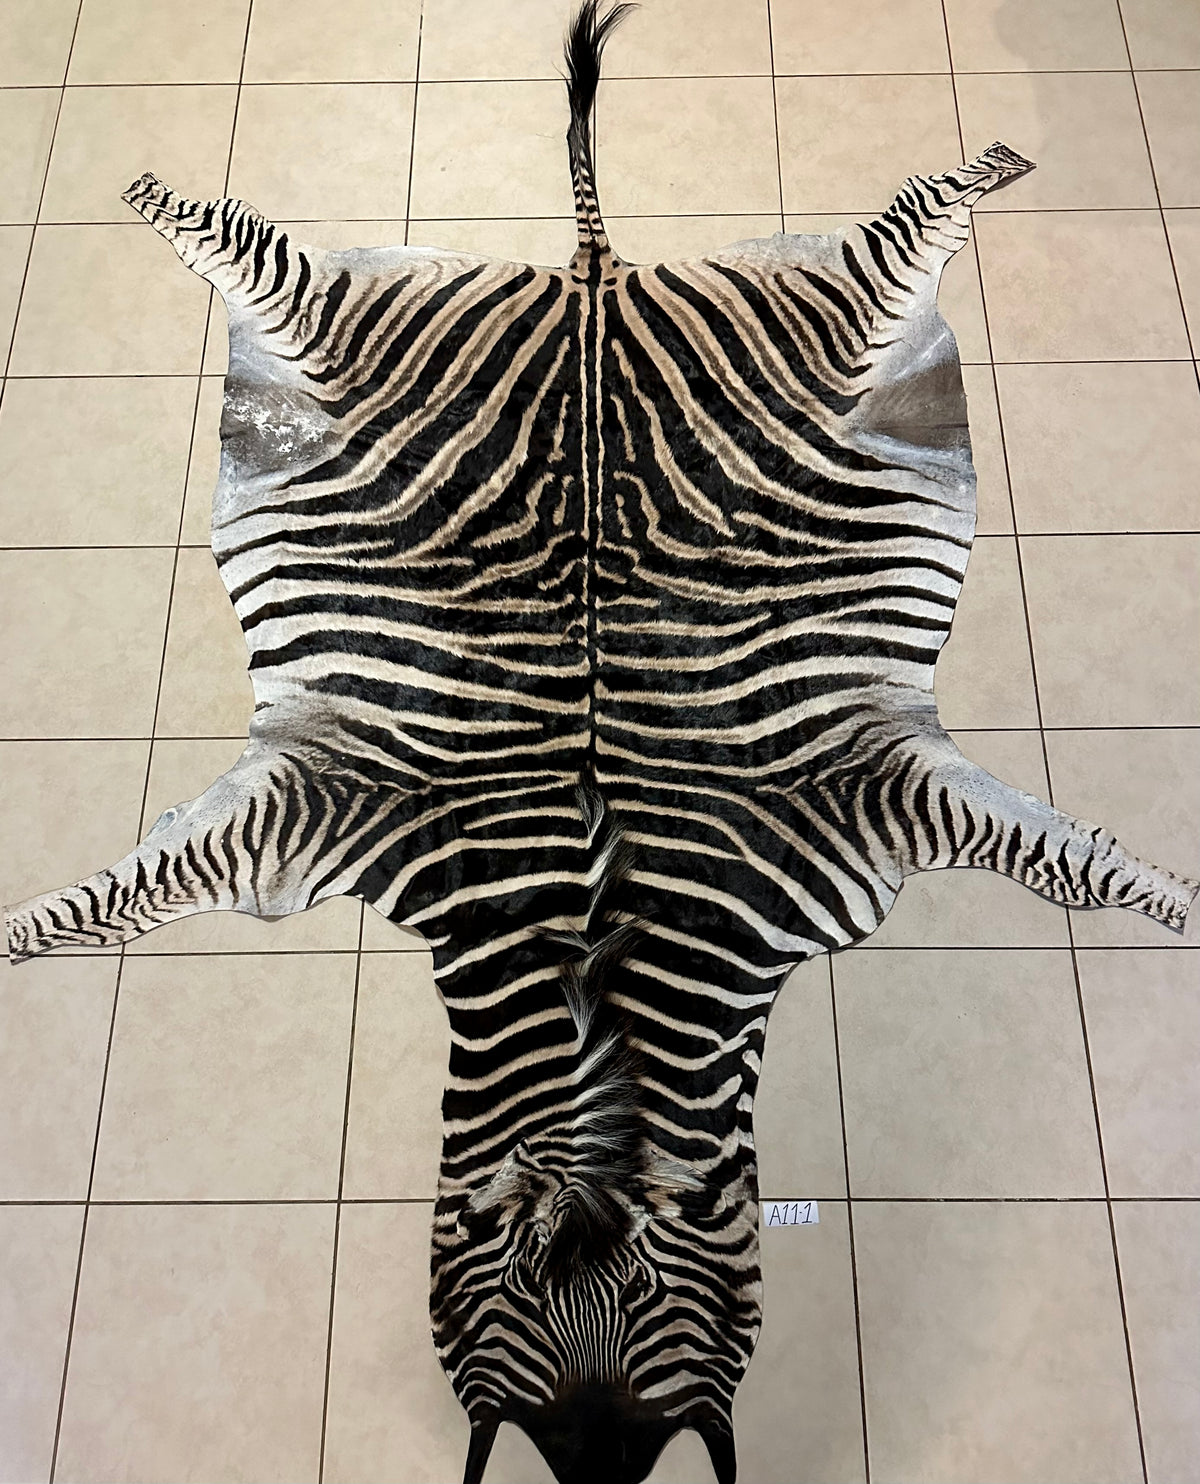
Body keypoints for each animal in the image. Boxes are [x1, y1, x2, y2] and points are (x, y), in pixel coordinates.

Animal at [5, 2, 1196, 1480]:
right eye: (474, 1339)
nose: (596, 1456)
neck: (600, 1002)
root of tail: (591, 284)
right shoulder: (330, 793)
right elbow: (116, 893)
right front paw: (15, 936)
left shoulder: (864, 784)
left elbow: (1079, 864)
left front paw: (1188, 908)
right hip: (367, 328)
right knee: (246, 247)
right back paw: (145, 190)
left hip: (818, 322)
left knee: (919, 215)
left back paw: (1003, 158)